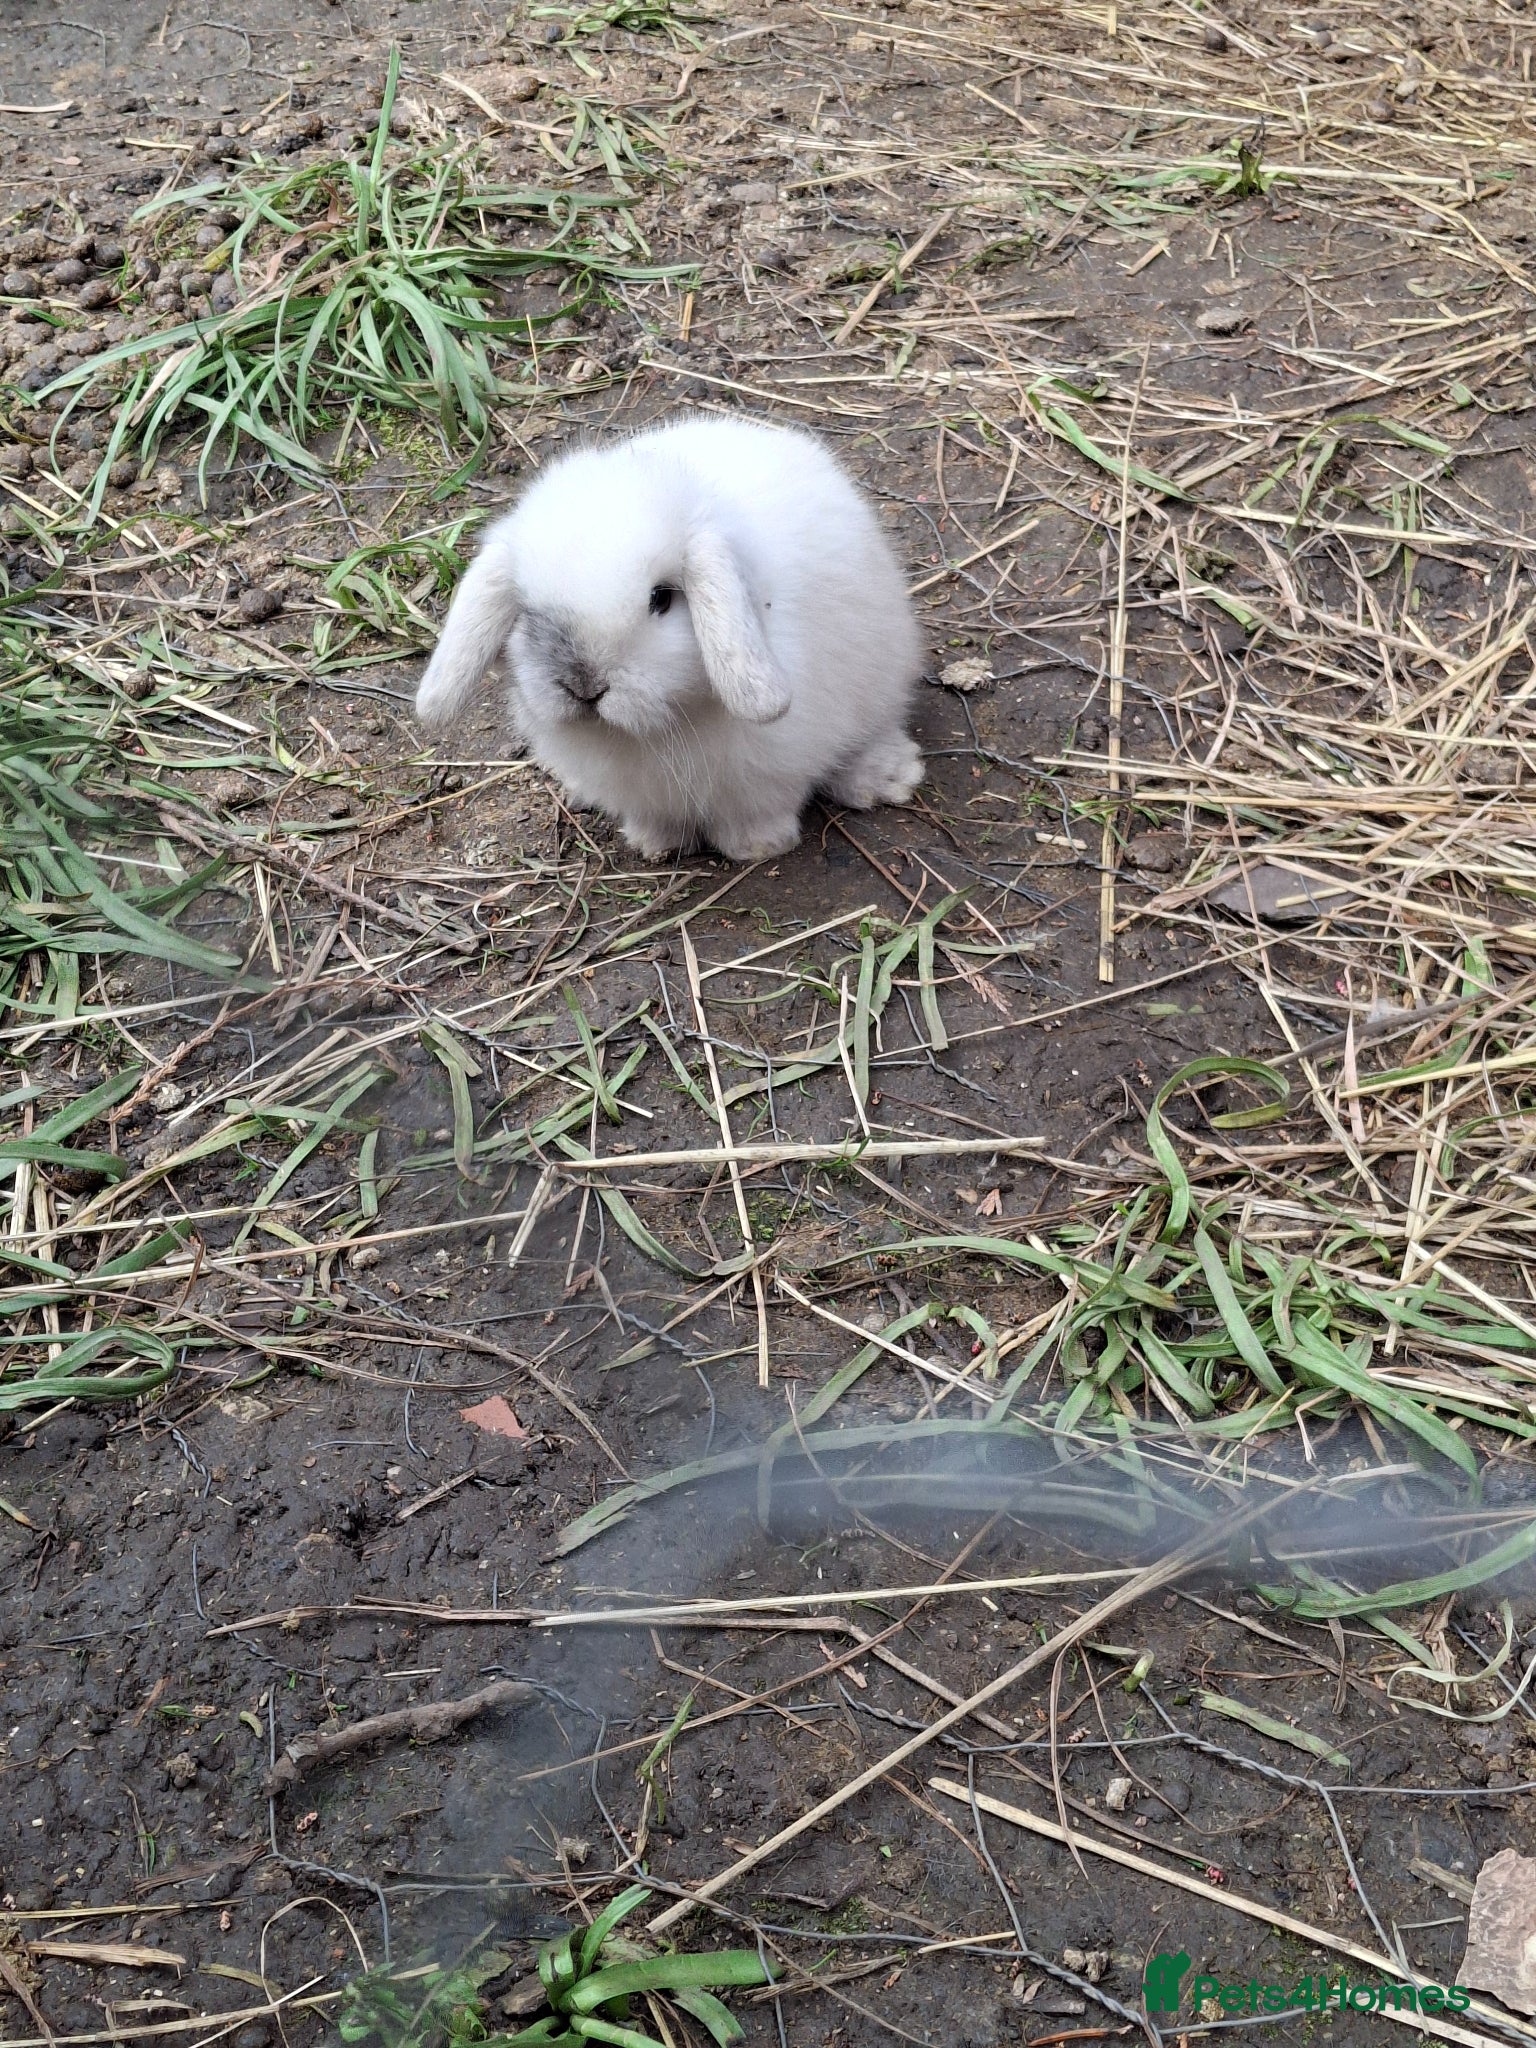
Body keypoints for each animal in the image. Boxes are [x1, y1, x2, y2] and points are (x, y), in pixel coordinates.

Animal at [413, 413, 924, 862]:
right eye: (526, 611)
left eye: (661, 599)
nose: (585, 687)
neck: (653, 732)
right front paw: (655, 845)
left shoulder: (768, 775)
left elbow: (761, 812)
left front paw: (758, 848)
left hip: (881, 679)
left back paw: (889, 777)